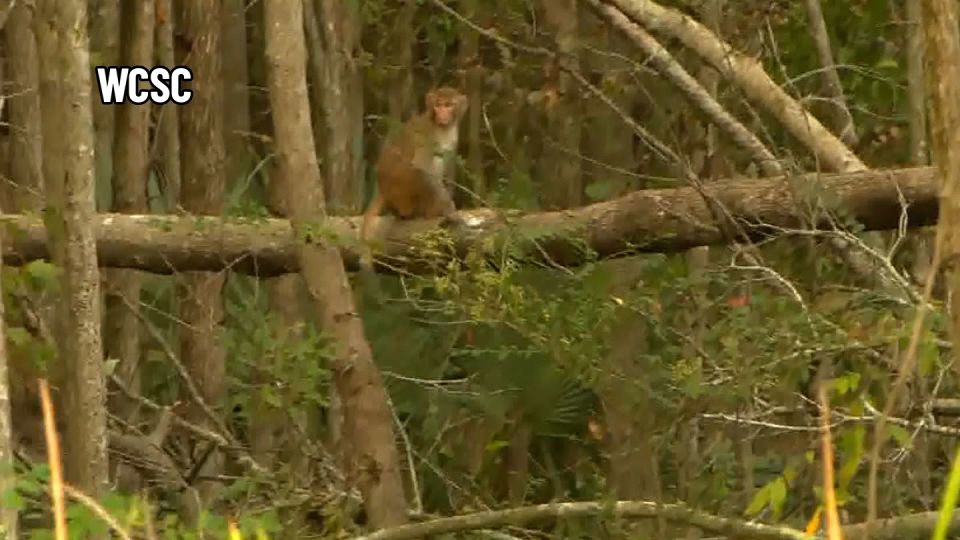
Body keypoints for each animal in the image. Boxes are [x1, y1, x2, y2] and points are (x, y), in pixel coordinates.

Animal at [359, 86, 468, 271]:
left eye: (449, 105)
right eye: (438, 105)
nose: (442, 115)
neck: (443, 128)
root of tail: (382, 188)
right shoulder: (429, 134)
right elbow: (422, 167)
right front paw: (448, 208)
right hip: (402, 191)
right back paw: (423, 212)